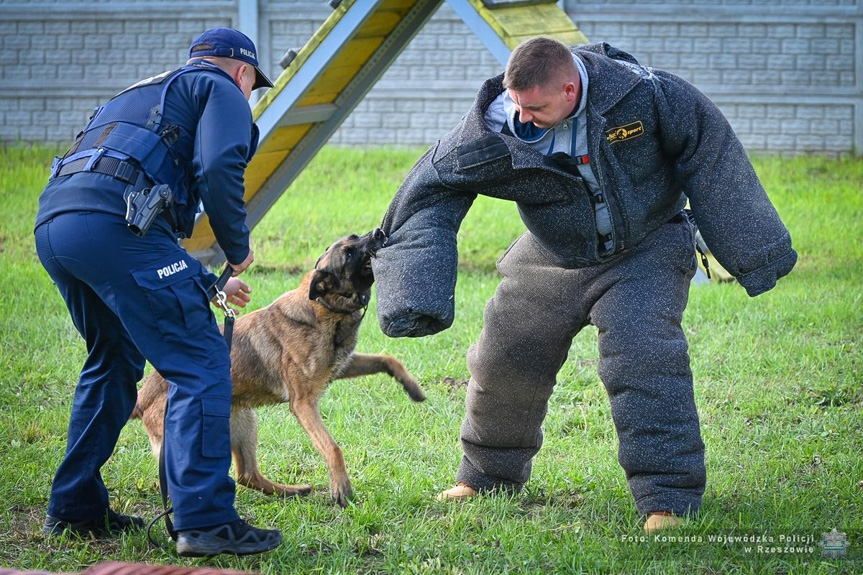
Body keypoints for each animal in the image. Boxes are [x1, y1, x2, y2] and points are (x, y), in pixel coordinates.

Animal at [130, 230, 424, 508]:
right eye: (349, 254)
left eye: (355, 237)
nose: (379, 233)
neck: (324, 306)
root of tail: (143, 398)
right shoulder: (303, 404)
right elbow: (333, 448)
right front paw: (342, 489)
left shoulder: (342, 365)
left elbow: (388, 359)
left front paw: (413, 388)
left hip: (243, 420)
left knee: (247, 475)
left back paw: (292, 491)